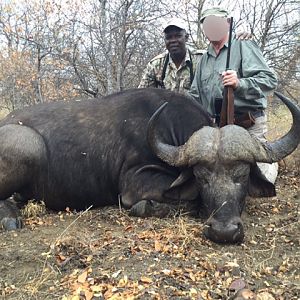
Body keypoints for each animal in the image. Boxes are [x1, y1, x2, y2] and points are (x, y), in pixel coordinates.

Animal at [0, 87, 300, 244]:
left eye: (242, 174)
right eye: (201, 176)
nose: (224, 231)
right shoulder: (135, 186)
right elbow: (186, 201)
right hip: (30, 145)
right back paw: (10, 218)